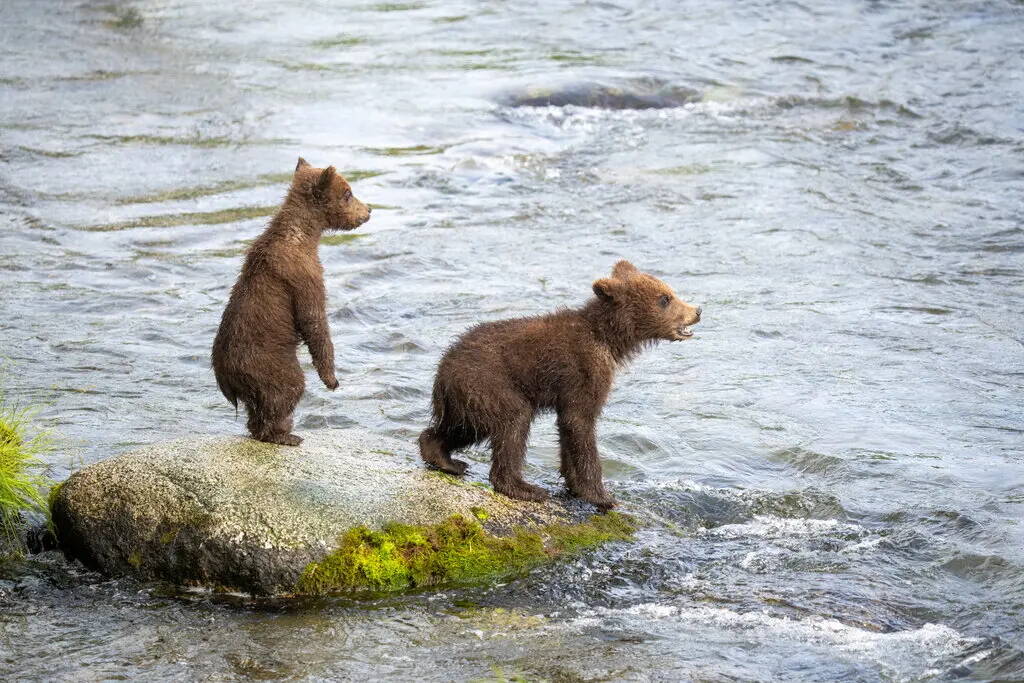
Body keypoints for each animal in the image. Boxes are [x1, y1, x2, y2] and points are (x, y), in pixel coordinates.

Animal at [211, 158, 371, 446]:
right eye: (348, 193)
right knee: (287, 389)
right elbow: (314, 319)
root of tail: (226, 378)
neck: (304, 235)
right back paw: (285, 434)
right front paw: (331, 379)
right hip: (269, 362)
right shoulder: (303, 273)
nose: (368, 210)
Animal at [418, 260, 702, 510]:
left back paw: (443, 458)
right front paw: (602, 495)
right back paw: (523, 487)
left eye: (669, 292)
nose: (697, 311)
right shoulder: (583, 370)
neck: (608, 340)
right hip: (490, 383)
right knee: (514, 424)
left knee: (463, 427)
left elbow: (569, 427)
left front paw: (575, 484)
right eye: (665, 298)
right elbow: (580, 423)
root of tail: (442, 370)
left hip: (468, 397)